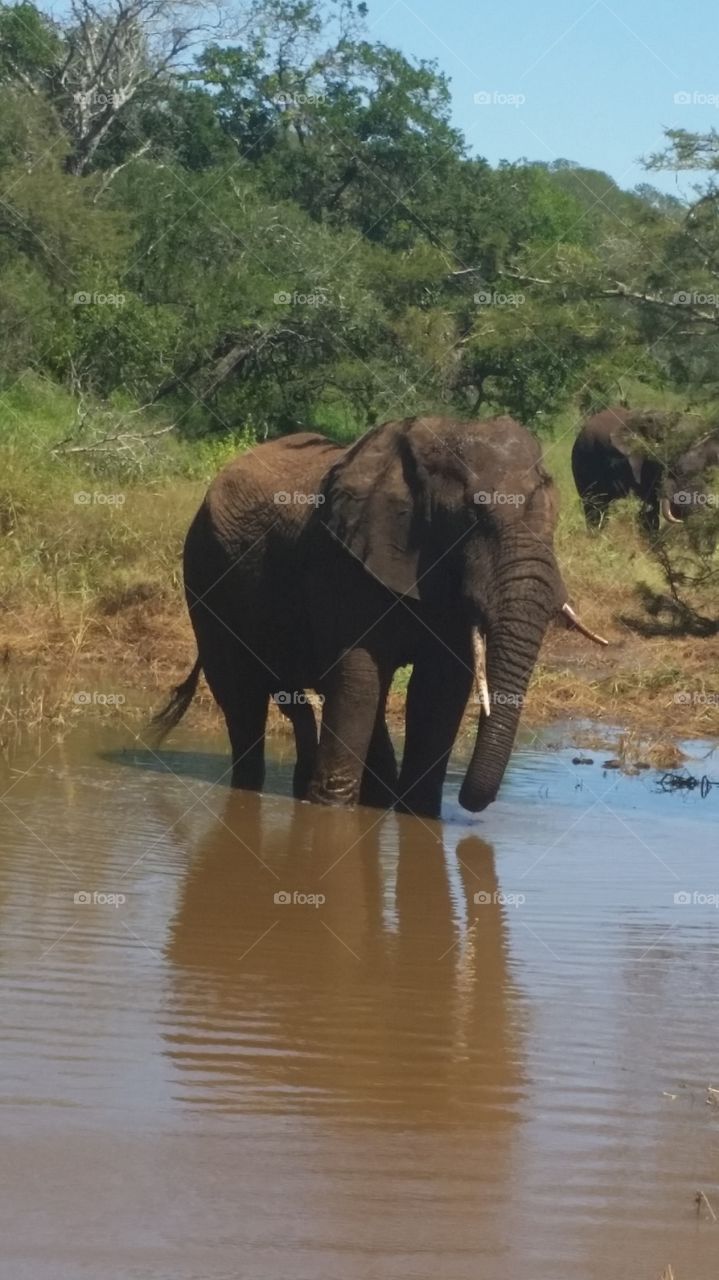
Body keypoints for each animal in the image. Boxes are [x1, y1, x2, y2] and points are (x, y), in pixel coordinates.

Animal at [154, 415, 606, 817]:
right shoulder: (343, 563)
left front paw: (419, 813)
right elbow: (359, 681)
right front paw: (332, 816)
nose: (469, 801)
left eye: (554, 519)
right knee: (241, 695)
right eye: (473, 518)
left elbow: (438, 691)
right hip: (204, 571)